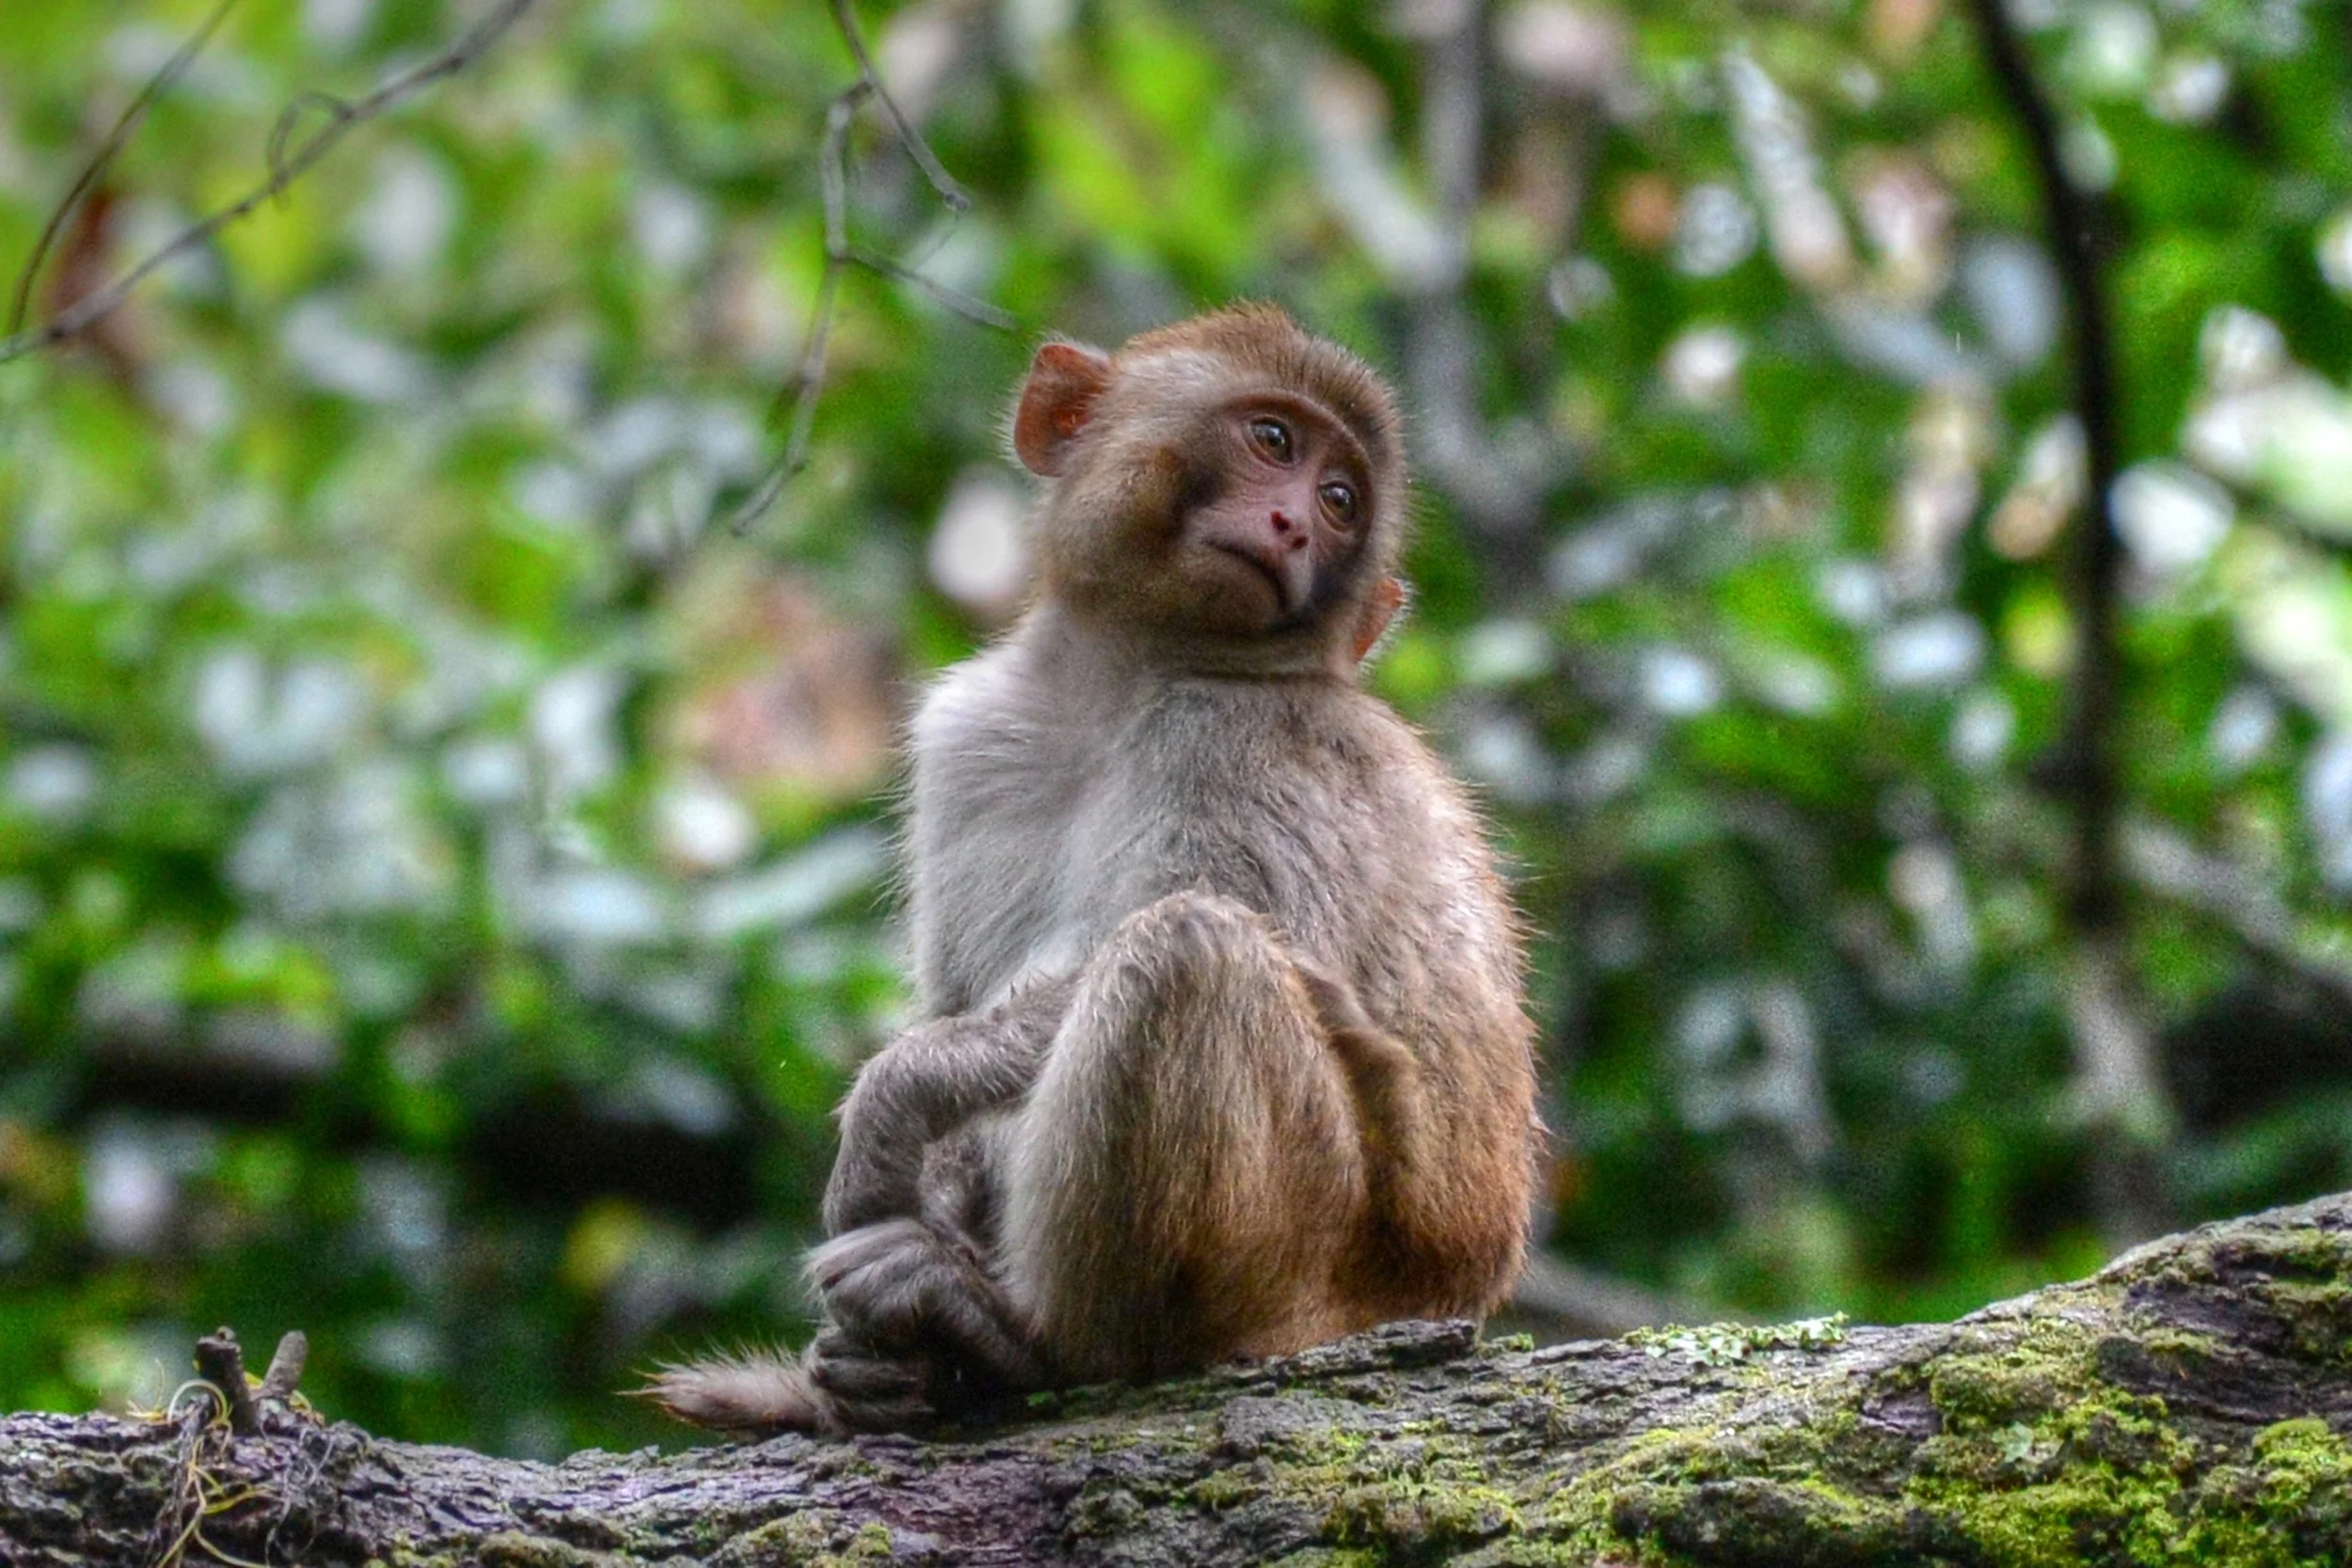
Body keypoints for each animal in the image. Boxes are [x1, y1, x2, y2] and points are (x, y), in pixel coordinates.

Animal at [647, 304, 1537, 1434]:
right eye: (1276, 442)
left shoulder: (1244, 743)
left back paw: (1027, 1338)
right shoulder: (969, 734)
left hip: (1308, 1264)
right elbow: (960, 997)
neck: (1121, 676)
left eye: (1341, 502)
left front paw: (891, 1104)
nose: (1295, 524)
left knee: (1186, 952)